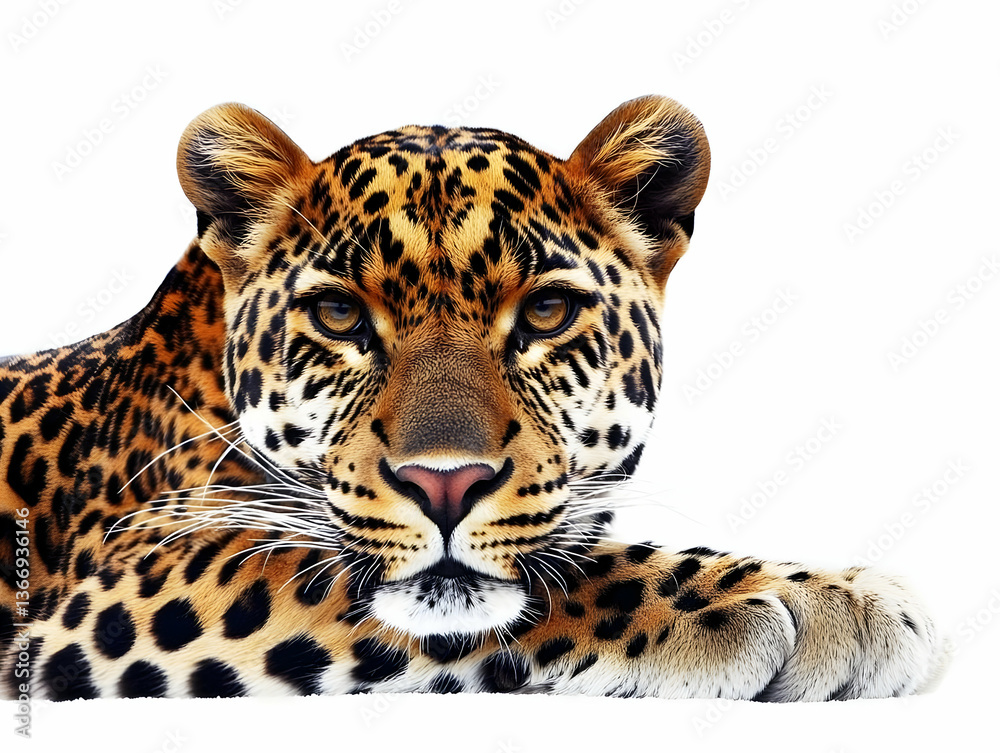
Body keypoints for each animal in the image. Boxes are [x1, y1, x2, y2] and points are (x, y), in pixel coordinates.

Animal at [0, 96, 947, 700]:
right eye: (339, 314)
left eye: (547, 312)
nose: (445, 483)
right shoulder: (133, 569)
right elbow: (561, 573)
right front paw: (802, 599)